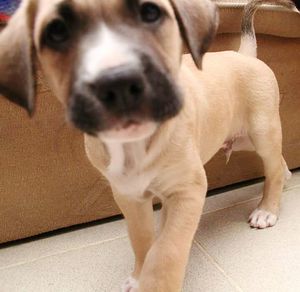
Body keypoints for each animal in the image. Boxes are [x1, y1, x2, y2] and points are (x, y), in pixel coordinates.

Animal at [0, 0, 296, 290]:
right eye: (57, 32)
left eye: (151, 15)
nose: (118, 83)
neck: (135, 145)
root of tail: (244, 54)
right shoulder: (129, 197)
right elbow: (142, 238)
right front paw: (139, 275)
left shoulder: (187, 193)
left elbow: (167, 252)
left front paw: (155, 281)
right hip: (243, 139)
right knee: (278, 162)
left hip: (261, 132)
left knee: (272, 167)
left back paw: (267, 209)